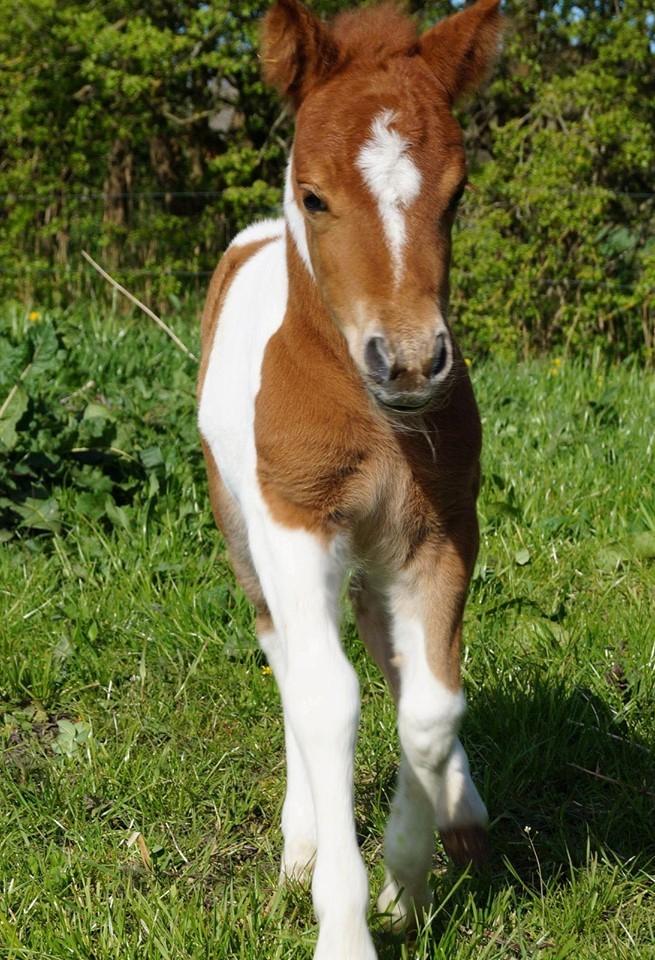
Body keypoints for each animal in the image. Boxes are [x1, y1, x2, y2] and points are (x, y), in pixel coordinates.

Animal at [197, 3, 504, 956]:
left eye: (457, 193)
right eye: (315, 196)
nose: (408, 362)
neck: (375, 421)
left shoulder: (442, 531)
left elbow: (432, 705)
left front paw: (406, 885)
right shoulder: (296, 527)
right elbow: (327, 701)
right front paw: (341, 922)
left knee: (389, 655)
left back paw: (462, 813)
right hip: (244, 530)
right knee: (289, 660)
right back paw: (299, 847)